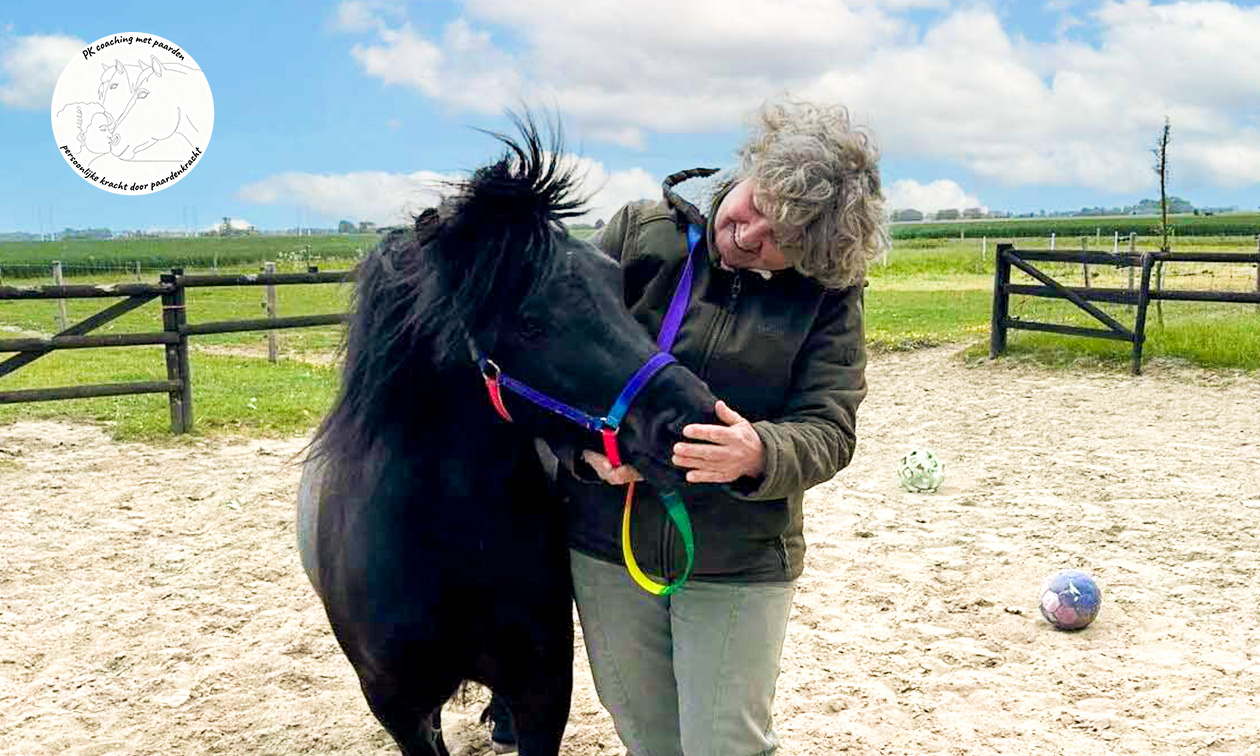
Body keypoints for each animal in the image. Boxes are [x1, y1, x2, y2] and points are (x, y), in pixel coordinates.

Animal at [296, 116, 719, 756]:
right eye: (530, 323)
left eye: (616, 287)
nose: (696, 419)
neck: (446, 542)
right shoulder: (400, 709)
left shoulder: (544, 685)